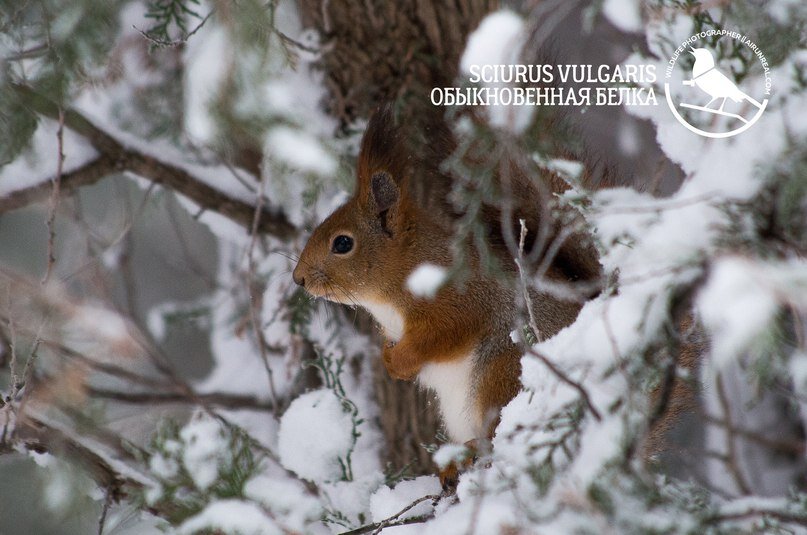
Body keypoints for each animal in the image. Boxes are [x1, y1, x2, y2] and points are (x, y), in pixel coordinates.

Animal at [294, 105, 604, 448]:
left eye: (342, 243)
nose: (298, 278)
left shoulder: (460, 301)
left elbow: (441, 335)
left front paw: (397, 362)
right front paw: (389, 360)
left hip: (503, 370)